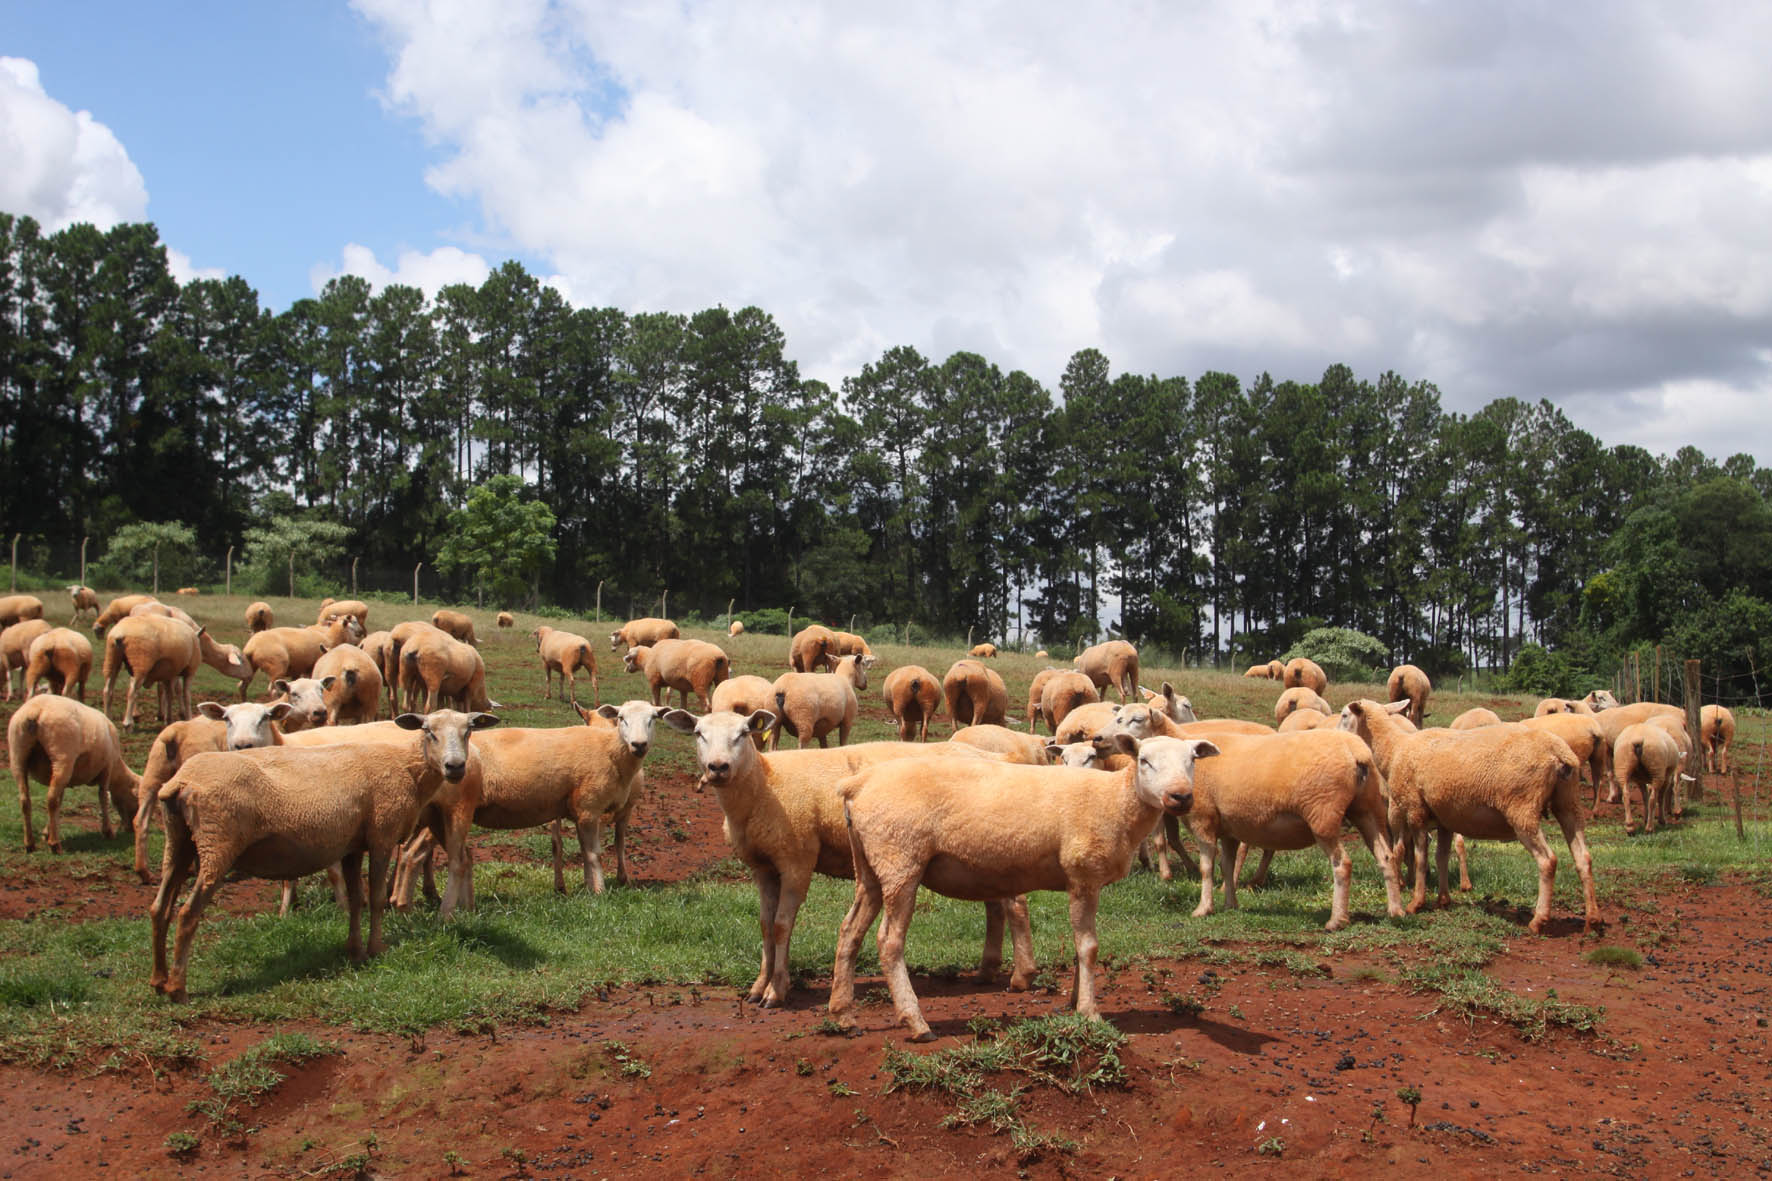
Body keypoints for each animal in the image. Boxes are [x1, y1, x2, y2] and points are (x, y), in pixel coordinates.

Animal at [7, 691, 139, 847]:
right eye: (137, 799)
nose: (131, 829)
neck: (117, 772)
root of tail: (36, 710)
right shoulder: (107, 768)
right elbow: (103, 797)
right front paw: (108, 832)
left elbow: (60, 801)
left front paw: (46, 832)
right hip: (62, 757)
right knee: (51, 799)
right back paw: (55, 844)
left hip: (18, 755)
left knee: (25, 800)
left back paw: (29, 844)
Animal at [148, 702, 499, 1000]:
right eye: (429, 731)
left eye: (468, 730)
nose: (455, 767)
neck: (406, 768)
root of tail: (181, 782)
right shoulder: (381, 836)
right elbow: (375, 899)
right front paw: (376, 949)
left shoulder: (352, 845)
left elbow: (356, 899)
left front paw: (355, 951)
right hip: (217, 844)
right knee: (187, 913)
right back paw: (177, 988)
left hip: (178, 844)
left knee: (159, 908)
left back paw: (158, 980)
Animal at [669, 702, 1041, 1007]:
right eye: (699, 734)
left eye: (743, 733)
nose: (718, 767)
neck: (764, 785)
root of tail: (995, 757)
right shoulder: (762, 867)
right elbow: (764, 925)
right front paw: (759, 987)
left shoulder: (796, 859)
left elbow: (781, 926)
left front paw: (777, 991)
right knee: (996, 905)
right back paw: (986, 971)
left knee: (1016, 904)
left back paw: (1021, 976)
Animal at [829, 737, 1219, 1042]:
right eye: (1144, 760)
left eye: (1192, 760)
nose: (1180, 797)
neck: (1116, 801)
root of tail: (857, 784)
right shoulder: (1083, 875)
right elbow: (1089, 947)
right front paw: (1089, 1011)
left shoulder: (1081, 882)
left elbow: (1079, 945)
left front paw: (1074, 1001)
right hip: (901, 859)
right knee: (889, 941)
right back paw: (916, 1022)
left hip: (871, 867)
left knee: (849, 931)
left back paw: (843, 1015)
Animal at [1332, 698, 1601, 929]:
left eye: (1344, 715)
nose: (1333, 732)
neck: (1395, 748)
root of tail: (1559, 753)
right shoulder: (1444, 818)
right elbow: (1441, 856)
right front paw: (1443, 899)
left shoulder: (1416, 810)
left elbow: (1420, 858)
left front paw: (1416, 903)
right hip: (1568, 803)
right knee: (1583, 858)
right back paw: (1592, 919)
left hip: (1522, 808)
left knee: (1548, 861)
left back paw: (1539, 919)